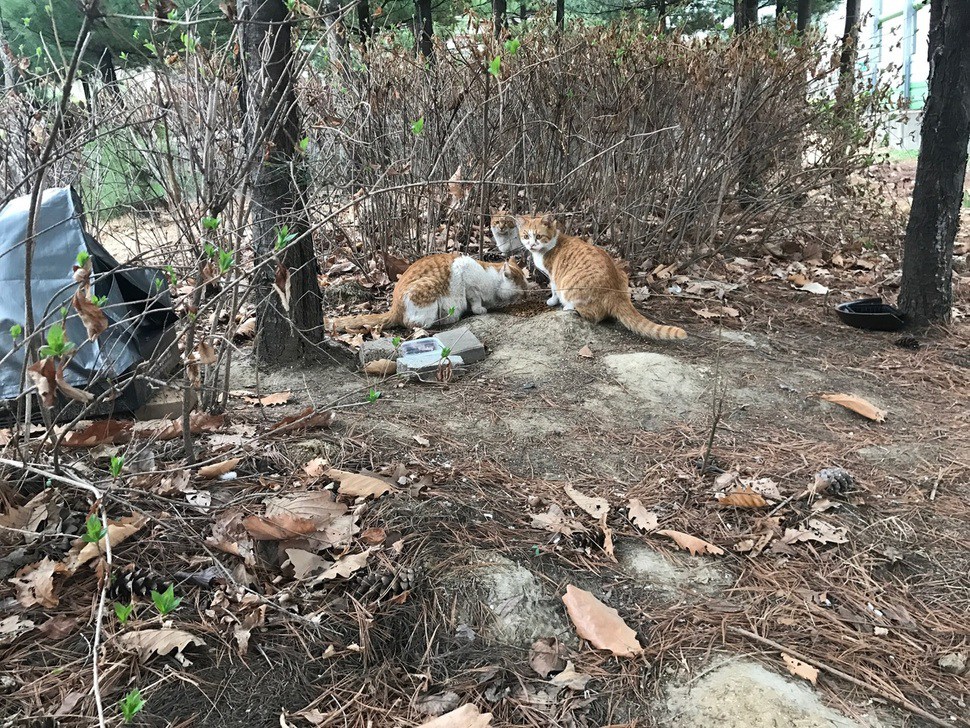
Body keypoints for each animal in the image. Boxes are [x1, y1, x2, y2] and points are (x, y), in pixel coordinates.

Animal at [332, 250, 528, 330]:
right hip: (428, 289)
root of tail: (394, 309)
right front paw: (480, 309)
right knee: (414, 325)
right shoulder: (467, 278)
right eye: (522, 288)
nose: (526, 294)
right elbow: (474, 299)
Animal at [520, 213, 684, 342]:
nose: (531, 245)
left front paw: (552, 301)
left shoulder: (553, 276)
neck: (551, 244)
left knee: (594, 315)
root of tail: (615, 291)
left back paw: (568, 307)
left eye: (538, 236)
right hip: (622, 274)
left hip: (569, 283)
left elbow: (554, 290)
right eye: (526, 236)